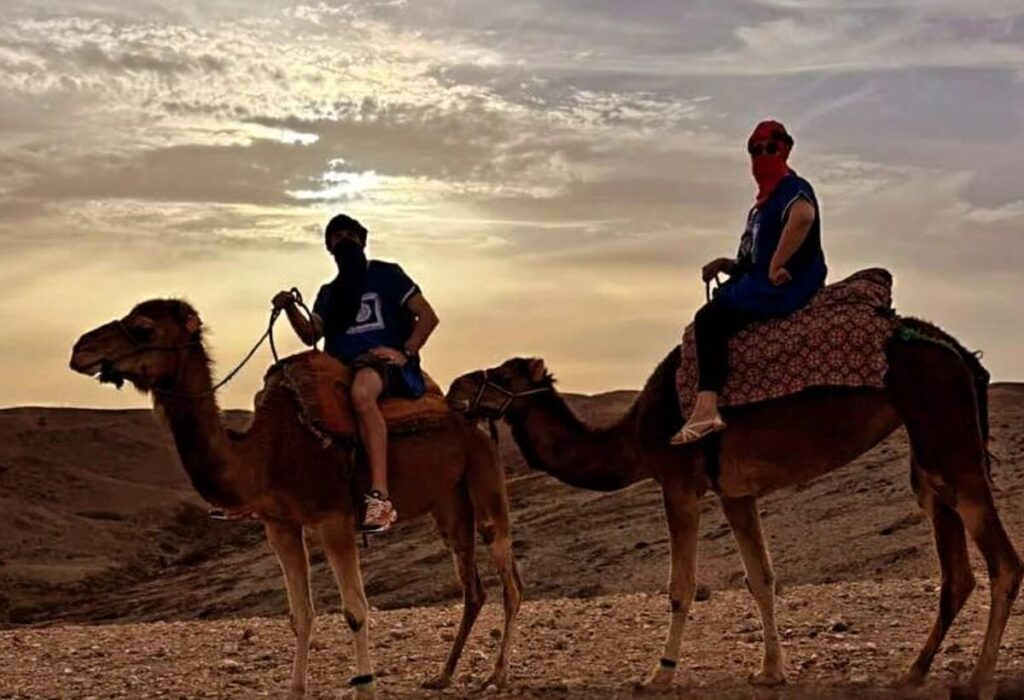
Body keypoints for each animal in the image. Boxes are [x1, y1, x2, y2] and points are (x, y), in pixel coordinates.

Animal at [68, 298, 524, 700]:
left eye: (143, 327)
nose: (80, 349)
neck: (267, 452)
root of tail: (477, 415)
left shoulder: (334, 518)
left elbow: (355, 610)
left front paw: (366, 688)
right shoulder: (280, 524)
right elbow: (300, 615)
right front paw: (296, 689)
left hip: (484, 477)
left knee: (508, 577)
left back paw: (497, 677)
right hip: (449, 503)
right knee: (471, 586)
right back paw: (443, 676)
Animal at [450, 319, 1024, 695]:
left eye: (501, 374)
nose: (455, 386)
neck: (633, 439)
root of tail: (961, 353)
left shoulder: (679, 481)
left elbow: (681, 586)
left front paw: (659, 672)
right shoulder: (735, 491)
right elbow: (761, 577)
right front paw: (771, 670)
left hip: (945, 434)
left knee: (1003, 562)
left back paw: (977, 679)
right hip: (928, 449)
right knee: (956, 569)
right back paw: (915, 670)